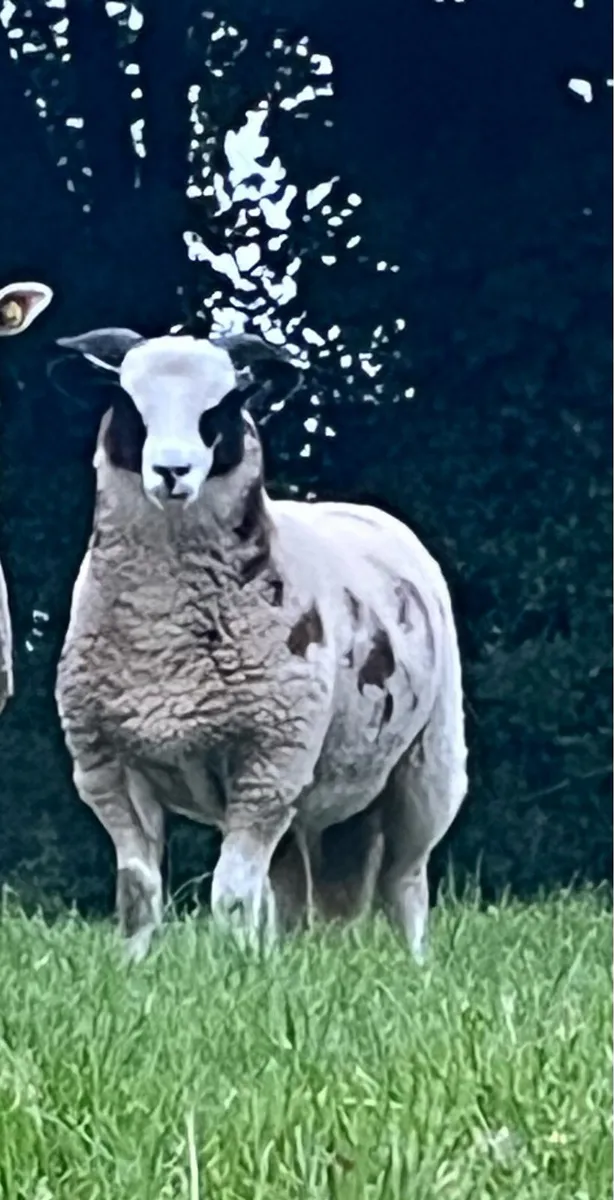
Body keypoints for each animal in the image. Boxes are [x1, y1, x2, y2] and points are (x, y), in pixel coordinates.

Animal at [55, 325, 468, 961]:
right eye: (128, 402)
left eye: (222, 406)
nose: (172, 471)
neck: (162, 635)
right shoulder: (106, 767)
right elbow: (138, 892)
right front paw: (137, 966)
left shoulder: (267, 761)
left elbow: (229, 893)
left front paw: (231, 967)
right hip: (308, 795)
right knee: (294, 886)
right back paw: (286, 959)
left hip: (427, 765)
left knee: (406, 882)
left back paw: (414, 963)